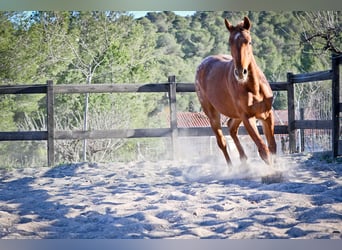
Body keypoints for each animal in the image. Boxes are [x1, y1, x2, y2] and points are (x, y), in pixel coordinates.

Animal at [195, 17, 276, 166]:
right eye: (230, 42)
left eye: (249, 41)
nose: (240, 72)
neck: (254, 88)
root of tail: (202, 64)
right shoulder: (247, 118)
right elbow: (264, 151)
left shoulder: (267, 114)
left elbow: (273, 148)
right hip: (213, 114)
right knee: (222, 142)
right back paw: (232, 168)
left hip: (236, 115)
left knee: (231, 128)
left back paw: (244, 161)